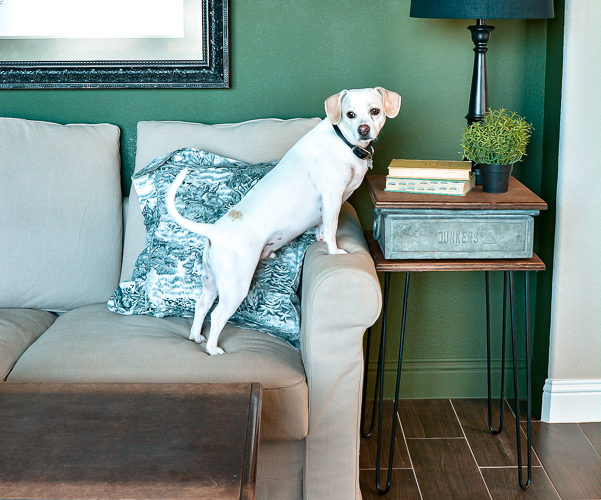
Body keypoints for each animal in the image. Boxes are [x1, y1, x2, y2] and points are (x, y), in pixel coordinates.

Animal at [166, 87, 400, 356]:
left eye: (375, 111)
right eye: (350, 114)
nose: (363, 129)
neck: (343, 142)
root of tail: (215, 231)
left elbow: (323, 226)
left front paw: (319, 238)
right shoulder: (332, 196)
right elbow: (331, 228)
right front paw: (334, 250)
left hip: (211, 282)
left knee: (201, 304)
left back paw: (195, 337)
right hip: (235, 286)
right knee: (216, 316)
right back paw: (213, 349)